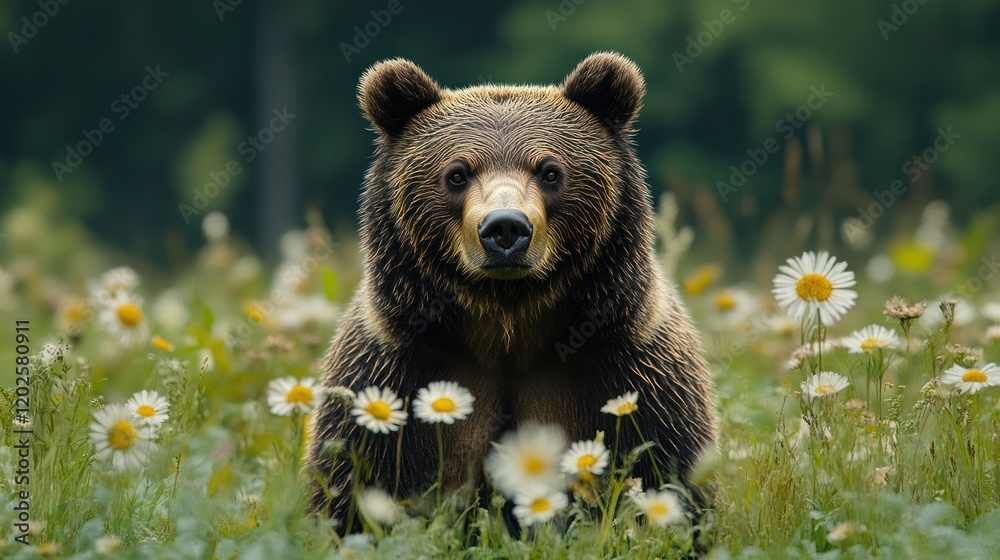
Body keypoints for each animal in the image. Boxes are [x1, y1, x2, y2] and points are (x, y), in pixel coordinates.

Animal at [306, 51, 716, 527]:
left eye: (551, 171)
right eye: (457, 173)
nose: (505, 227)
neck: (508, 323)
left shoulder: (633, 370)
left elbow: (669, 472)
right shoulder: (393, 372)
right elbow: (350, 488)